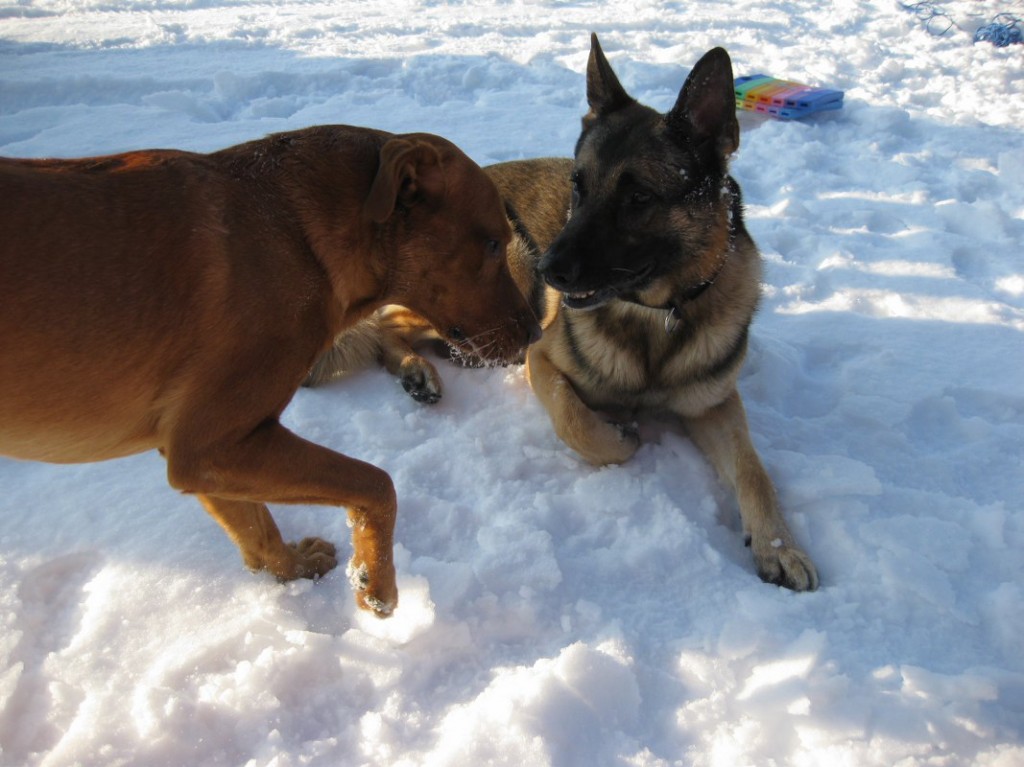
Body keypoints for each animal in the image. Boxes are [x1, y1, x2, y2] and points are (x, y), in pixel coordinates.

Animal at [0, 125, 540, 614]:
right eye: (494, 244)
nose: (537, 331)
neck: (300, 237)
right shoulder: (214, 444)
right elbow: (376, 483)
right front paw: (376, 581)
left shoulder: (201, 453)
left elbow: (254, 526)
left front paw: (291, 570)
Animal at [307, 35, 819, 593]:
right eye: (579, 185)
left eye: (639, 197)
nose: (549, 268)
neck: (656, 318)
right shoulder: (543, 358)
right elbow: (578, 423)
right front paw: (619, 435)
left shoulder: (715, 405)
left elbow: (752, 468)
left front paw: (780, 546)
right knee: (389, 323)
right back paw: (416, 370)